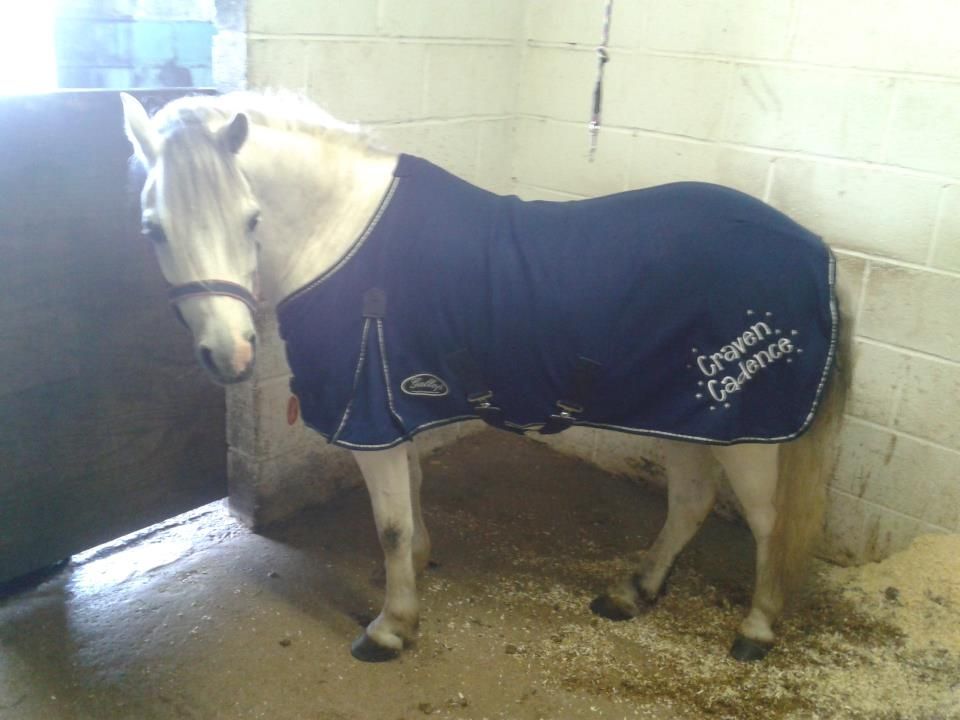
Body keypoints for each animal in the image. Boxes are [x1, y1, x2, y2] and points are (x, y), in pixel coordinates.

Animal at [118, 93, 848, 668]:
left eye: (251, 219)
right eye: (152, 229)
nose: (230, 355)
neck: (348, 242)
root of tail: (817, 250)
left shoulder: (370, 418)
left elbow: (389, 523)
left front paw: (390, 628)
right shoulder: (394, 410)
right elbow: (411, 500)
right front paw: (416, 573)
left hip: (746, 428)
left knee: (767, 524)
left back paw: (755, 630)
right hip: (688, 417)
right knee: (692, 502)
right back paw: (631, 594)